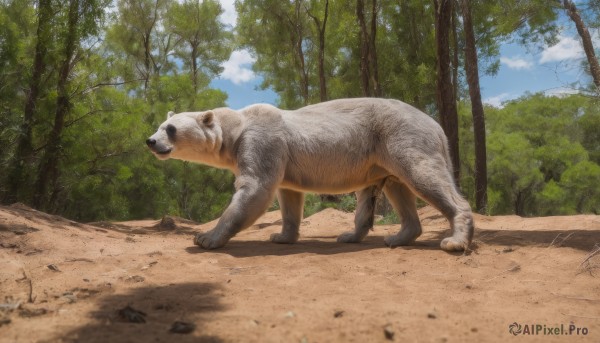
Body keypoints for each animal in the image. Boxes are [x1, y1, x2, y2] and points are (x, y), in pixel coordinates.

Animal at [146, 98, 474, 251]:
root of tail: (437, 127)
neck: (238, 127)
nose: (150, 141)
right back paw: (386, 237)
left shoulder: (262, 141)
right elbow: (288, 195)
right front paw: (281, 236)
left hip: (402, 135)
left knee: (423, 175)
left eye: (170, 129)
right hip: (384, 150)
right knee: (396, 187)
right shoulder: (282, 155)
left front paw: (205, 238)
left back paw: (454, 241)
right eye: (160, 126)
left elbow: (255, 187)